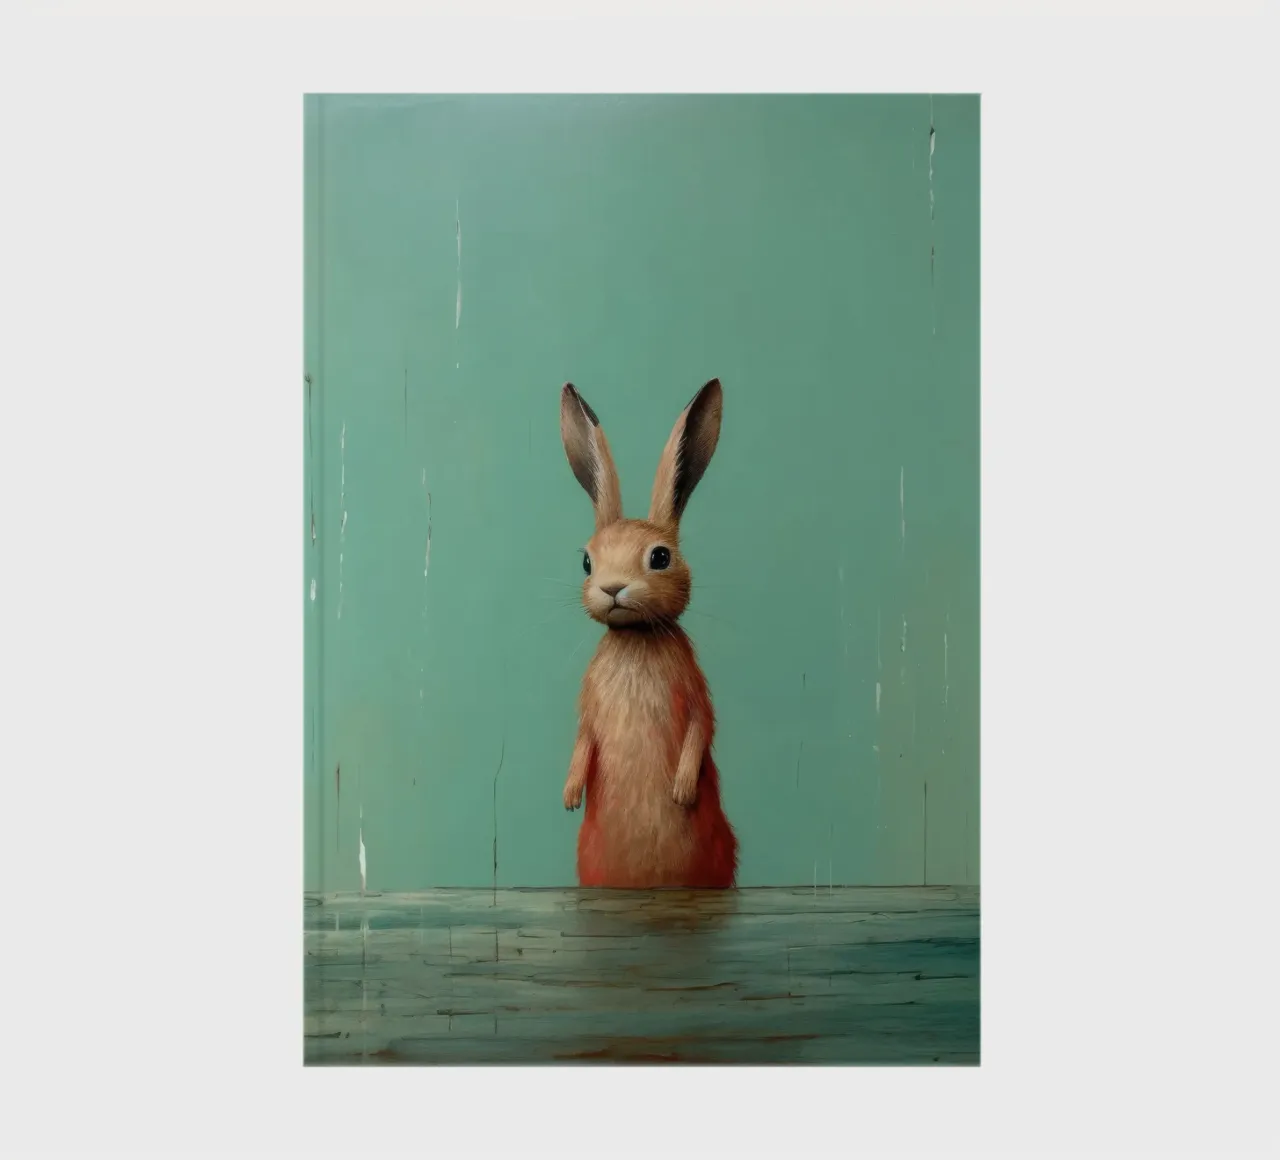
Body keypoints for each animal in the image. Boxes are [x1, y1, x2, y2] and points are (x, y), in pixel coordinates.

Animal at [559, 378, 738, 889]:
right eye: (587, 562)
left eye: (660, 557)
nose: (612, 588)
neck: (635, 636)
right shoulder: (588, 709)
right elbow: (583, 739)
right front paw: (570, 795)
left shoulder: (696, 693)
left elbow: (701, 727)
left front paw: (680, 791)